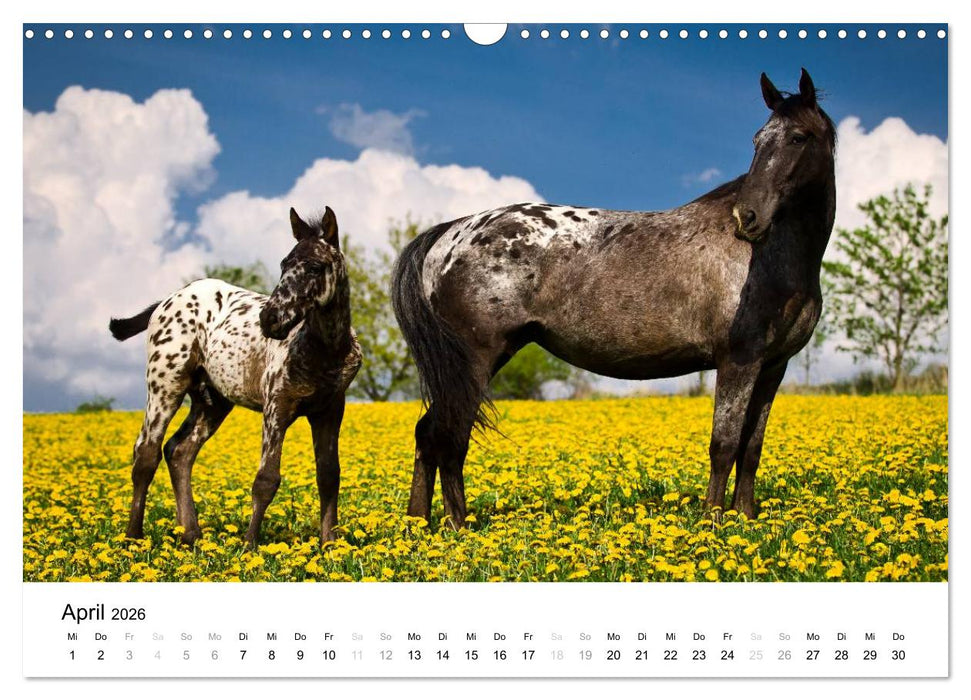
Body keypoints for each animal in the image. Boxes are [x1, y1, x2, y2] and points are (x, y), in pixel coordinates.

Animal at [109, 207, 361, 548]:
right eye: (284, 264)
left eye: (315, 266)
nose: (270, 320)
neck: (325, 350)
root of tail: (167, 299)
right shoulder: (276, 406)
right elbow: (266, 479)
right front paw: (249, 546)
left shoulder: (330, 410)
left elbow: (329, 475)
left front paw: (330, 545)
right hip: (165, 384)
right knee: (146, 453)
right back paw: (133, 538)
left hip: (212, 401)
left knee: (179, 451)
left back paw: (191, 536)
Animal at [392, 69, 836, 527]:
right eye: (758, 140)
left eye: (798, 137)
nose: (747, 217)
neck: (770, 257)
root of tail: (451, 231)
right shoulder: (738, 360)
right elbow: (724, 444)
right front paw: (713, 523)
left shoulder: (773, 366)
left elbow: (751, 447)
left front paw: (743, 518)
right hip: (475, 362)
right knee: (450, 436)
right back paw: (458, 528)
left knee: (428, 432)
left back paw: (417, 524)